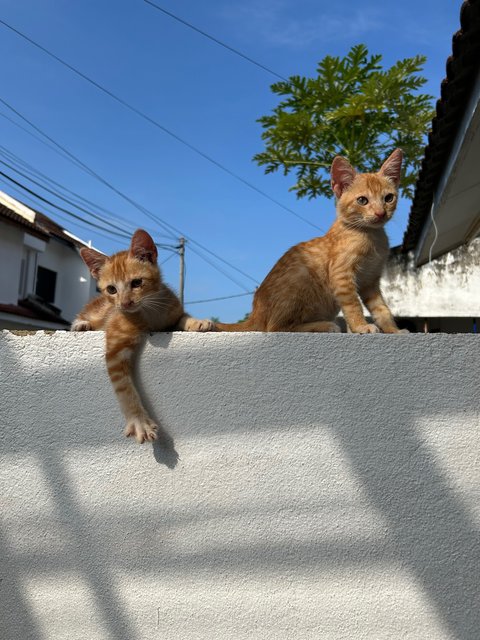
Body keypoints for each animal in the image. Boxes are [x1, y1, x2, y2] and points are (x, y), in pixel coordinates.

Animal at [71, 230, 214, 444]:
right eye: (111, 289)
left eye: (137, 283)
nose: (125, 303)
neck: (150, 311)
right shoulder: (115, 348)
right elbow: (124, 388)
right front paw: (139, 420)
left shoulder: (173, 310)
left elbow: (182, 317)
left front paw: (196, 322)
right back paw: (82, 324)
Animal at [216, 149, 406, 336]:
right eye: (362, 200)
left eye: (388, 198)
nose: (380, 213)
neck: (371, 235)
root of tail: (255, 314)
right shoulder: (341, 275)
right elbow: (353, 304)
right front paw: (360, 326)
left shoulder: (370, 281)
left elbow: (381, 309)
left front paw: (393, 330)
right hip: (301, 276)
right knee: (275, 327)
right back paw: (324, 325)